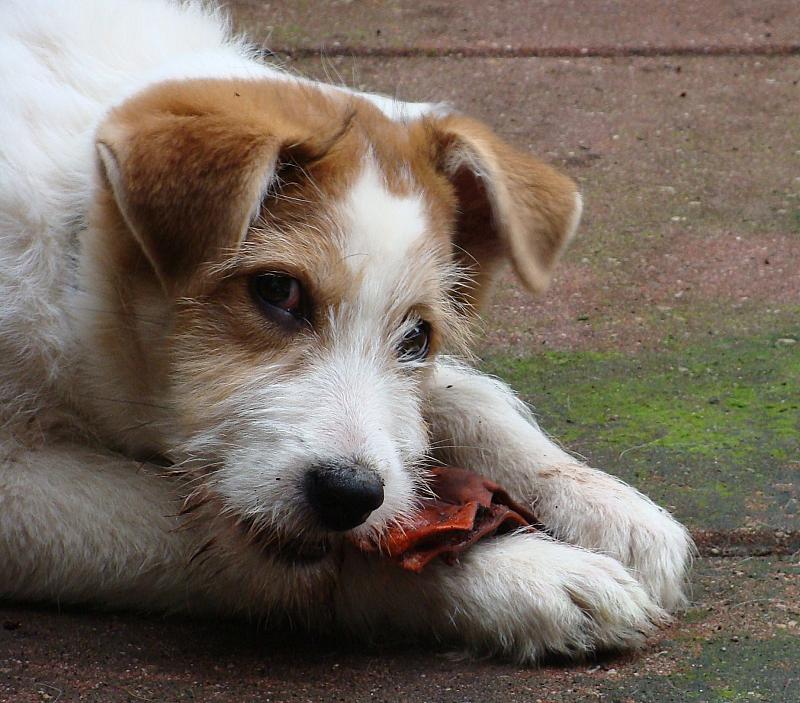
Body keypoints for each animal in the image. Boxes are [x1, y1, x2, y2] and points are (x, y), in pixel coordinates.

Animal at [0, 0, 693, 662]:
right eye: (276, 291)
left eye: (417, 337)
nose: (349, 495)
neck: (76, 278)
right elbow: (257, 543)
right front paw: (526, 576)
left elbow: (468, 399)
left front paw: (608, 506)